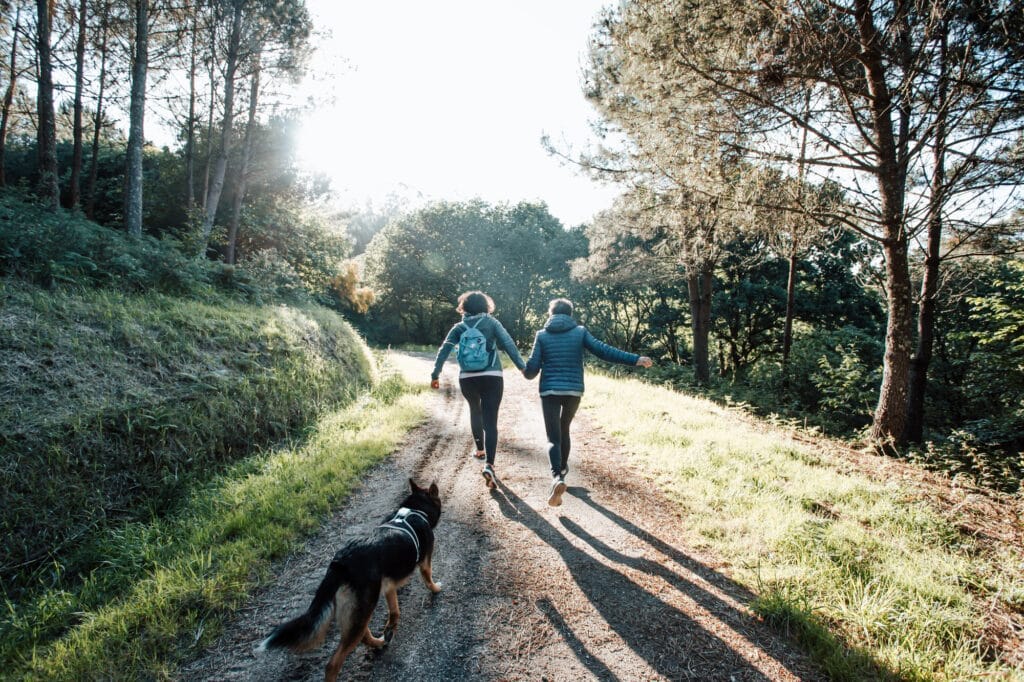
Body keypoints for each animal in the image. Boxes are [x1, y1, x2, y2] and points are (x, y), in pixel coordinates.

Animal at [256, 477, 440, 679]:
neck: (414, 510)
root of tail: (341, 563)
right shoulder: (425, 563)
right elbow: (428, 579)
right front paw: (436, 589)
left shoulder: (389, 586)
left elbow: (394, 611)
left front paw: (391, 627)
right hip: (363, 607)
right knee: (333, 663)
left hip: (358, 609)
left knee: (362, 635)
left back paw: (378, 642)